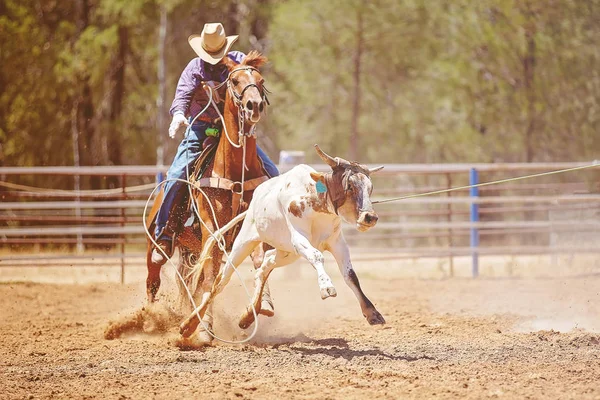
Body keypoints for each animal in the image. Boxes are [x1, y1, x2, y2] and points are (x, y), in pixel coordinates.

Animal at [180, 145, 384, 338]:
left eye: (370, 188)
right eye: (350, 186)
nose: (370, 217)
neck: (314, 199)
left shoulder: (337, 243)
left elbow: (350, 275)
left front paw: (372, 312)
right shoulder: (299, 239)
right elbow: (317, 256)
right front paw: (327, 287)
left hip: (287, 253)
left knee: (265, 265)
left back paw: (248, 315)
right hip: (244, 243)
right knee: (220, 281)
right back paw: (189, 325)